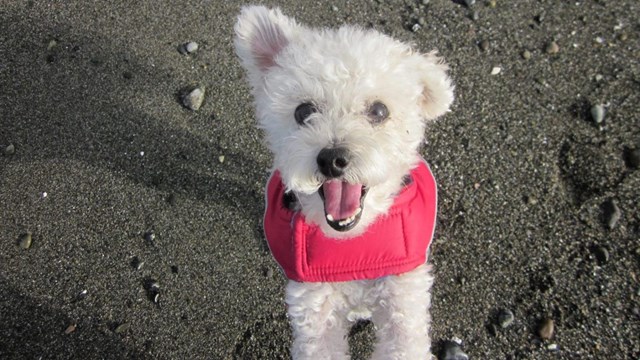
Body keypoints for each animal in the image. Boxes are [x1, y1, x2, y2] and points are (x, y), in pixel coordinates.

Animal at [235, 6, 456, 360]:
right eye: (303, 111)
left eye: (379, 110)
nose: (331, 159)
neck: (353, 248)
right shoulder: (313, 305)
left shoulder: (402, 294)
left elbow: (404, 343)